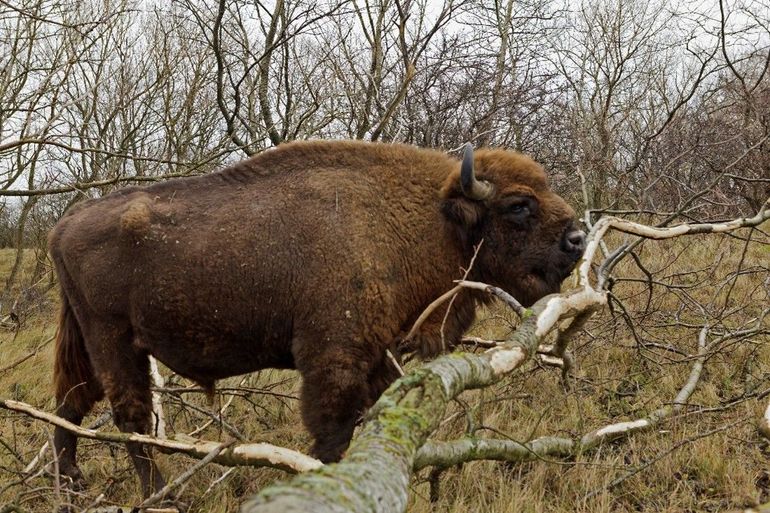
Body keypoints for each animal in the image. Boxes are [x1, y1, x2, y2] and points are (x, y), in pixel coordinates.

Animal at [49, 139, 584, 496]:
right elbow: (332, 432)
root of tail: (65, 222)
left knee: (71, 403)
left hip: (92, 342)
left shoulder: (379, 355)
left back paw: (72, 483)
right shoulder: (334, 358)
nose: (577, 240)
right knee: (130, 414)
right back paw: (163, 495)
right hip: (115, 340)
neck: (428, 218)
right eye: (518, 205)